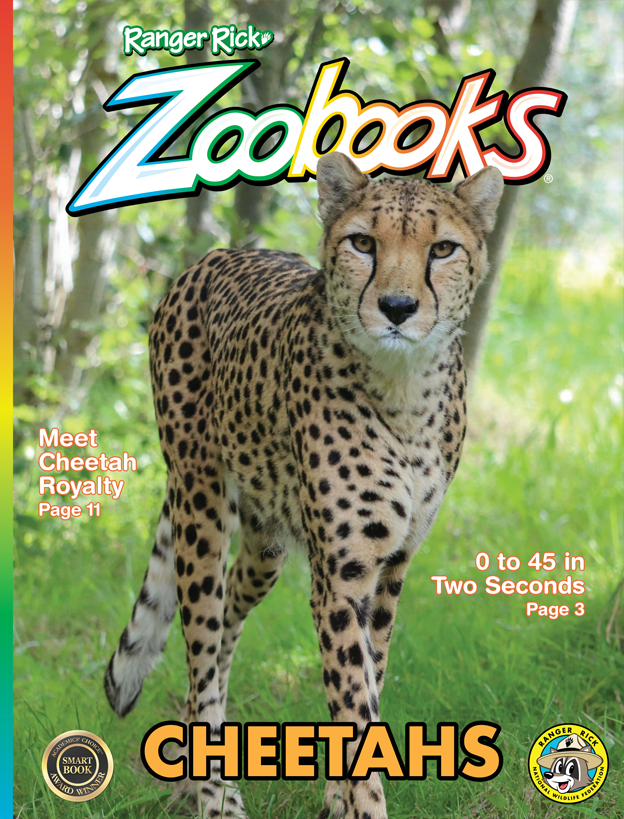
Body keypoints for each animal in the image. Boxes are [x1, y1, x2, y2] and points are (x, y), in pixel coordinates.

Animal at [104, 151, 503, 819]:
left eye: (442, 248)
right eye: (363, 242)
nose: (397, 307)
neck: (405, 389)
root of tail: (217, 256)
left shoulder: (390, 569)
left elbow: (369, 682)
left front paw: (339, 801)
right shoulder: (341, 577)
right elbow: (354, 702)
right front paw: (362, 805)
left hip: (264, 544)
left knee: (226, 625)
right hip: (199, 502)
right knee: (201, 640)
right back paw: (212, 792)